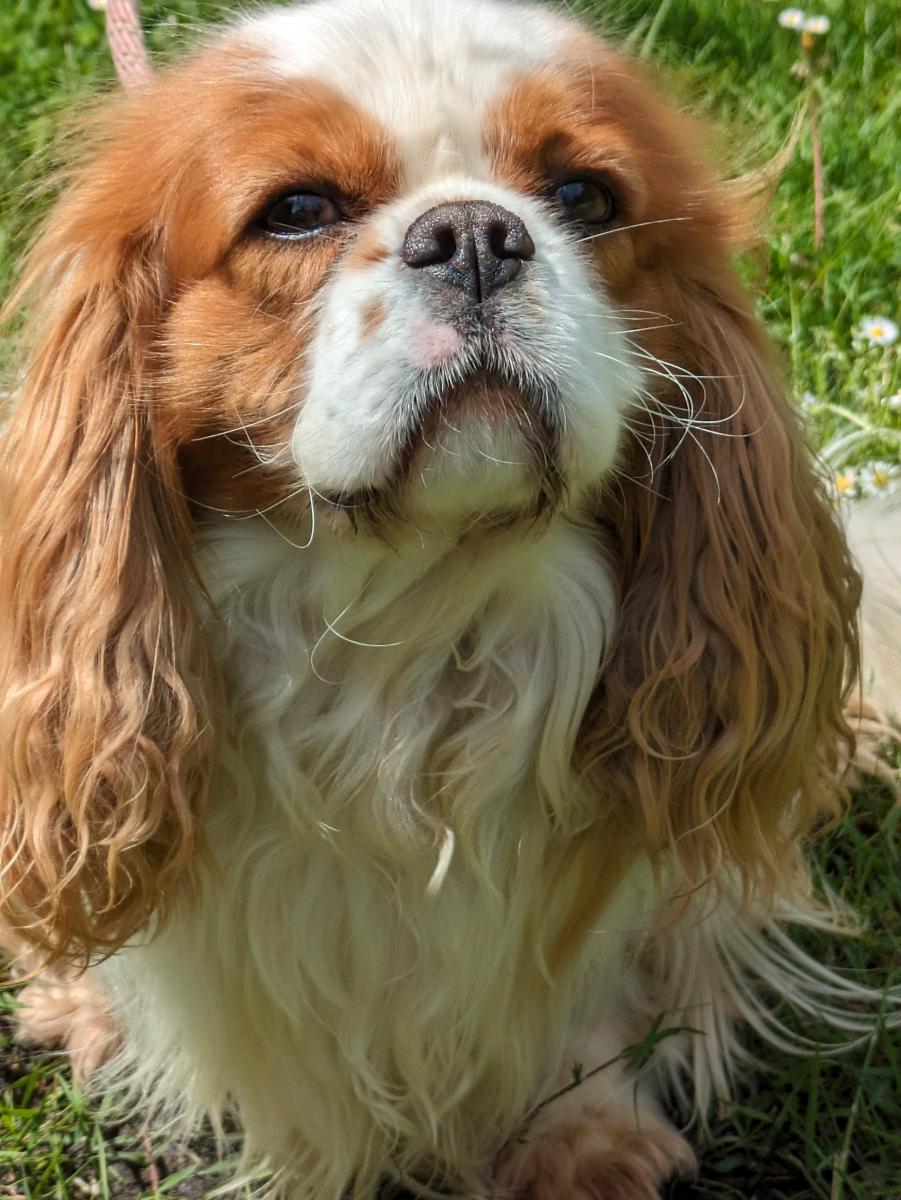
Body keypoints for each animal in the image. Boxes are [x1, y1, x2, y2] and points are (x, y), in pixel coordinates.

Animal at [0, 2, 897, 1200]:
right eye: (297, 211)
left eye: (584, 197)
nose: (475, 234)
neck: (408, 614)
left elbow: (587, 985)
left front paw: (584, 1135)